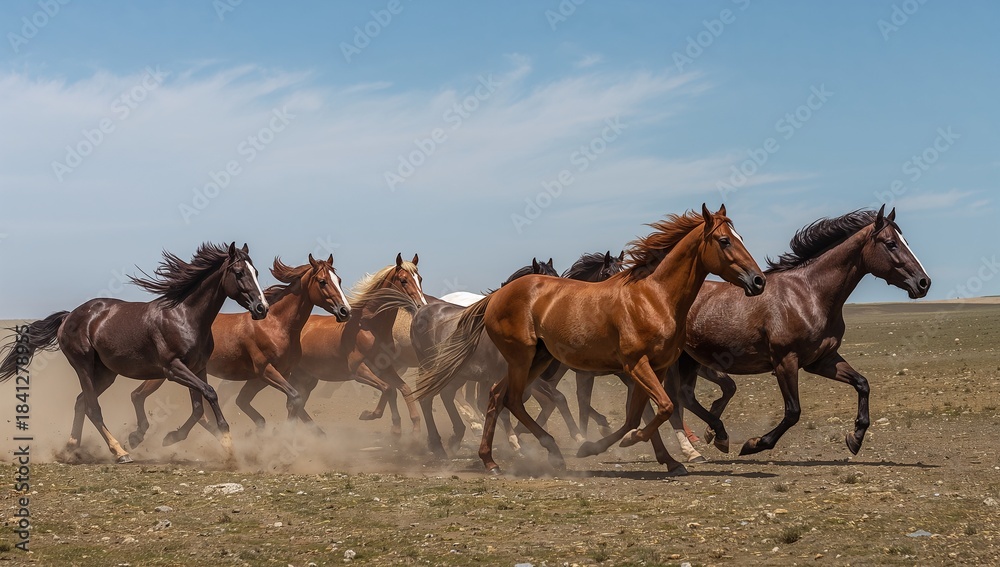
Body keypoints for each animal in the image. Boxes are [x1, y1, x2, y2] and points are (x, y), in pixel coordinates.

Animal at [0, 242, 269, 464]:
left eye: (256, 272)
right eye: (239, 273)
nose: (262, 308)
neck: (185, 316)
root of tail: (68, 316)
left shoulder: (198, 368)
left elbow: (199, 406)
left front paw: (170, 437)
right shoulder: (173, 369)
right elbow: (210, 394)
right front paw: (227, 444)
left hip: (106, 373)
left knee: (80, 402)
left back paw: (71, 449)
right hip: (83, 366)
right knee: (92, 407)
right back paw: (119, 451)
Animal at [124, 254, 352, 447]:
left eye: (339, 280)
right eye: (322, 281)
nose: (345, 311)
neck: (276, 324)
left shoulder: (266, 376)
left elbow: (264, 403)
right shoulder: (265, 370)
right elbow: (294, 398)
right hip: (164, 372)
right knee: (138, 395)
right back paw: (151, 437)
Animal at [410, 257, 560, 458]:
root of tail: (421, 311)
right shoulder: (497, 375)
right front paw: (516, 444)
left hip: (457, 373)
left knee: (446, 394)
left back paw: (456, 437)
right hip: (431, 367)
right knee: (427, 398)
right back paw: (438, 447)